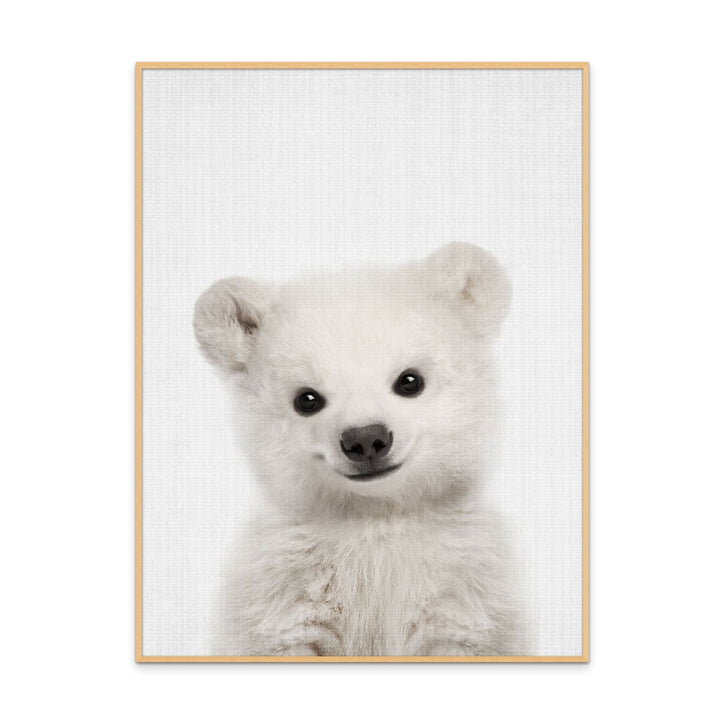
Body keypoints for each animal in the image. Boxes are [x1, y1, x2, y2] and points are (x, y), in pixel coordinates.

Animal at [193, 242, 523, 657]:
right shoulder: (284, 592)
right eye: (307, 399)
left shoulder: (462, 591)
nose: (365, 439)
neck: (374, 518)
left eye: (410, 380)